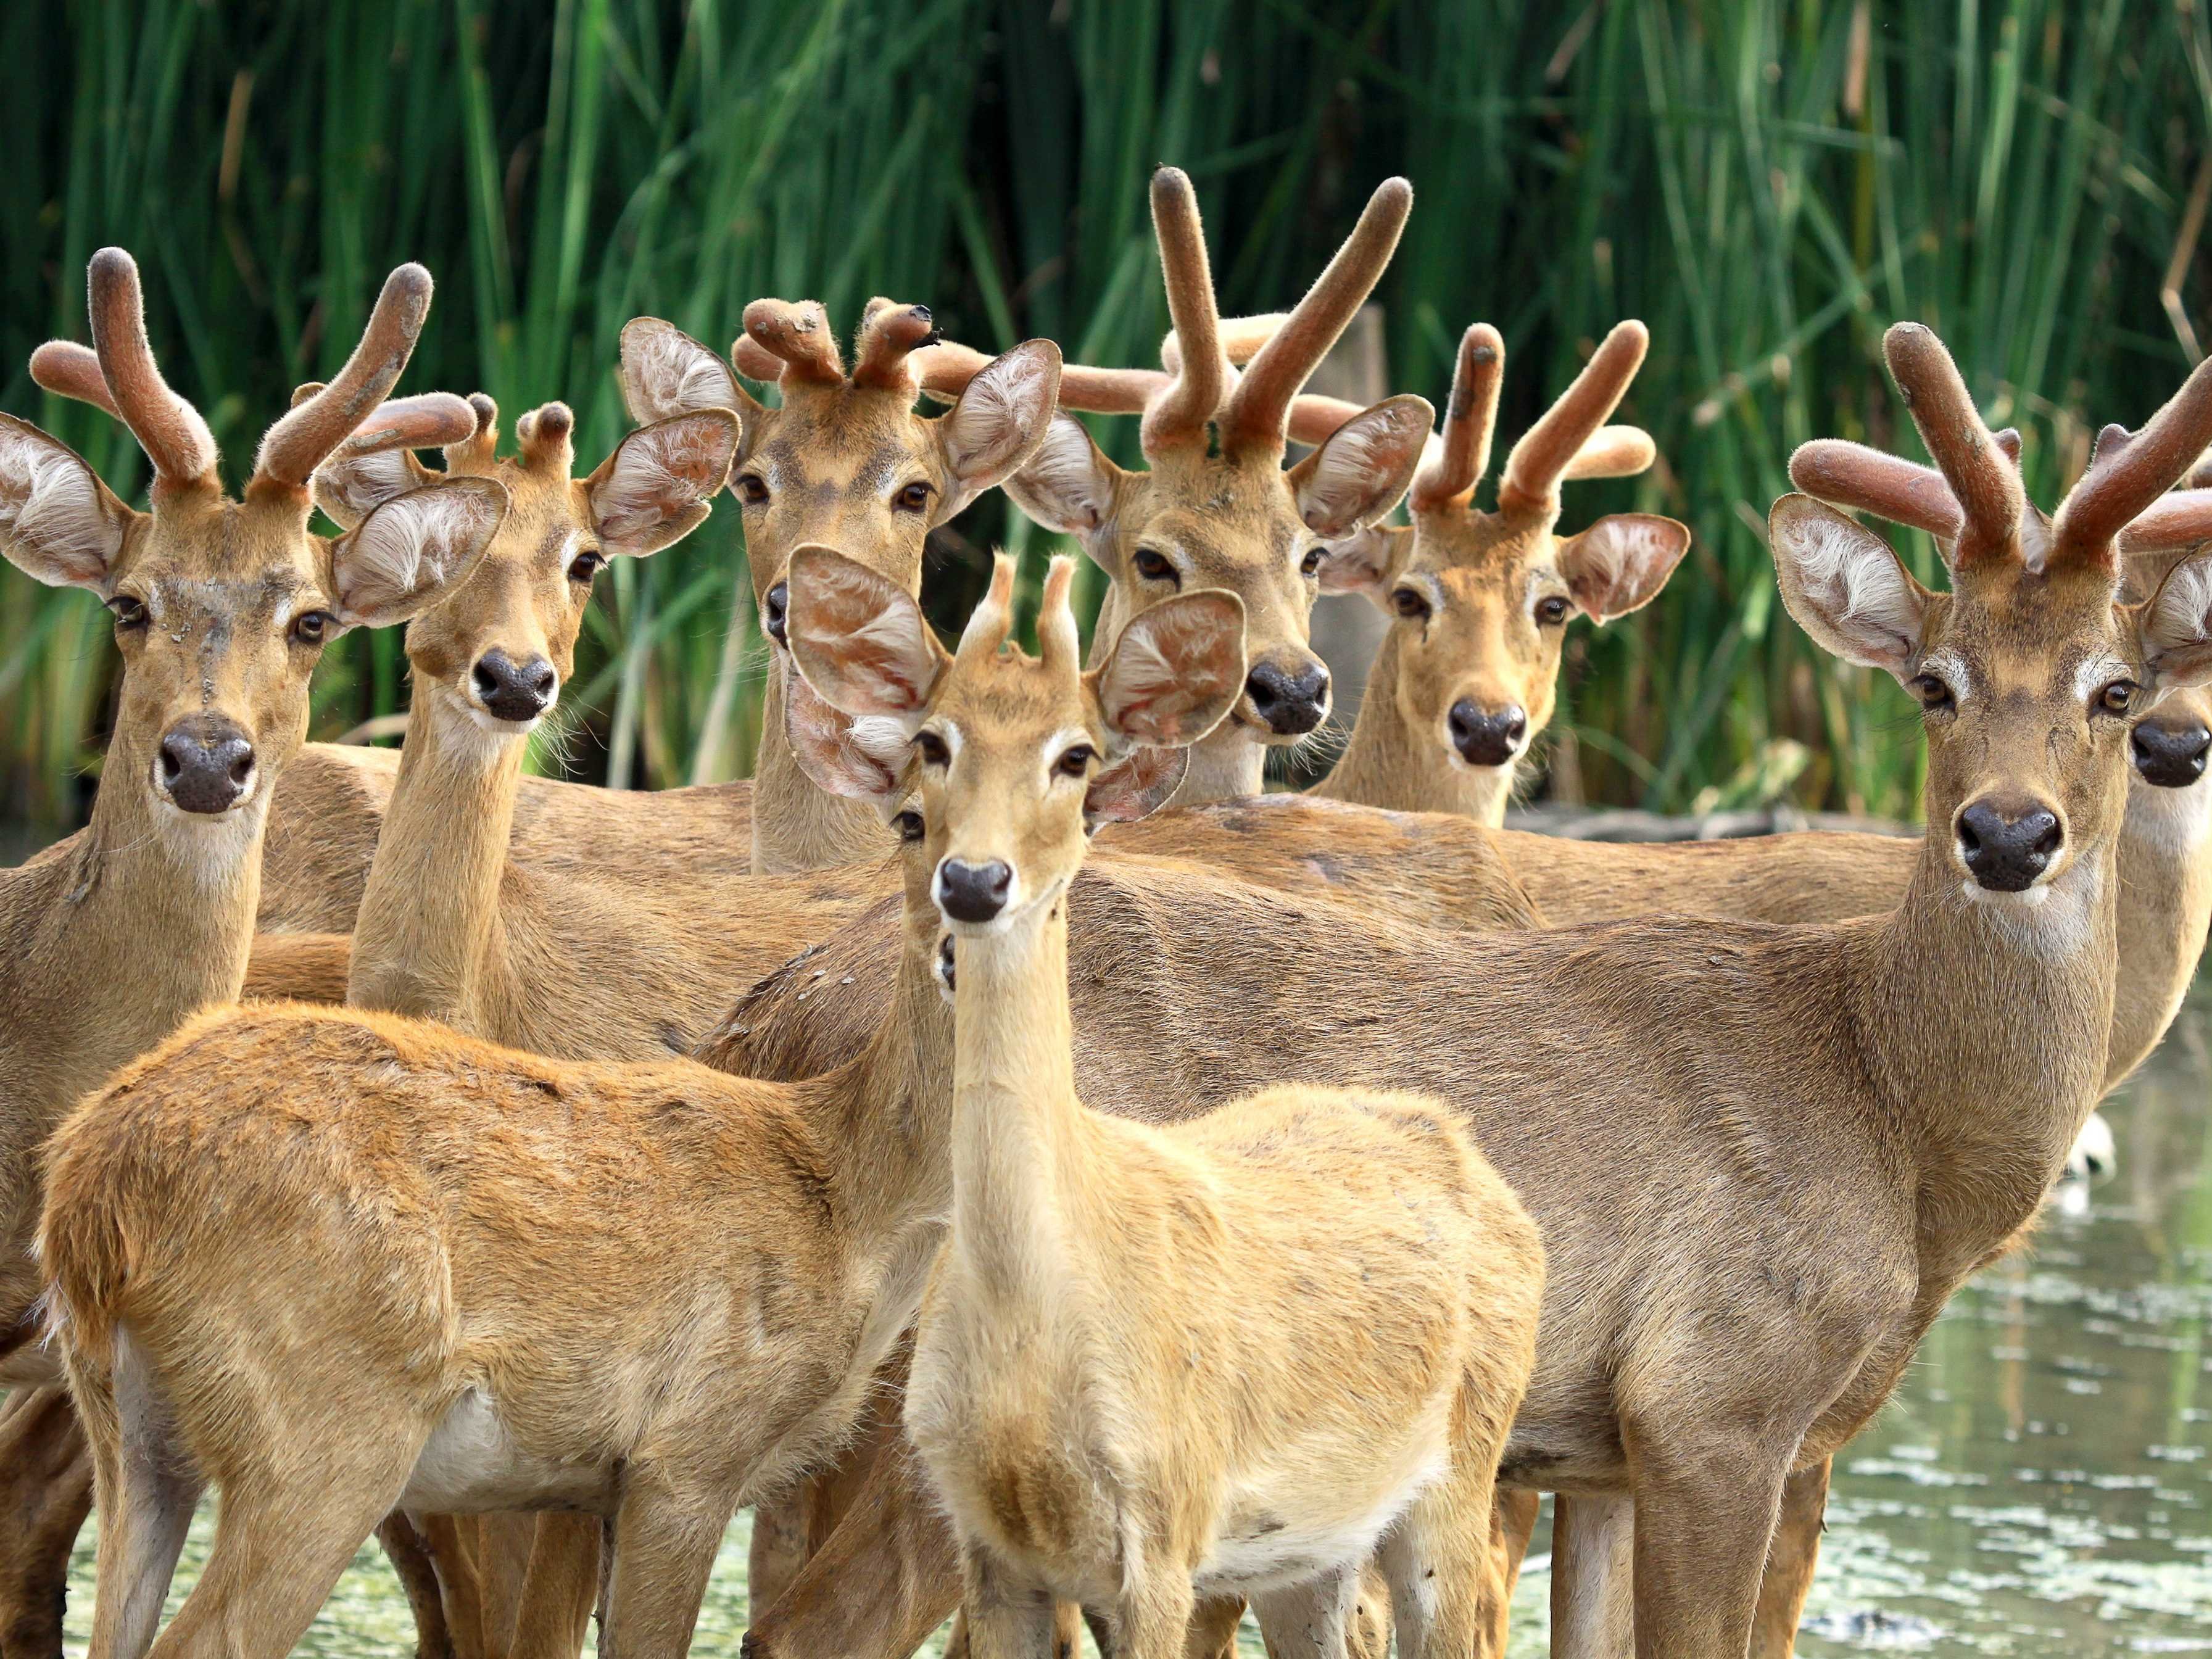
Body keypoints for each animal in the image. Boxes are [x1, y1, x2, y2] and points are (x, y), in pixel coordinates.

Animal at [21, 535, 1265, 1659]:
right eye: (918, 796)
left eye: (1078, 784)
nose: (973, 894)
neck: (848, 1198)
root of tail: (92, 1197)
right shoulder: (686, 1453)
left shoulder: (608, 1483)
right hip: (324, 1426)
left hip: (130, 1426)